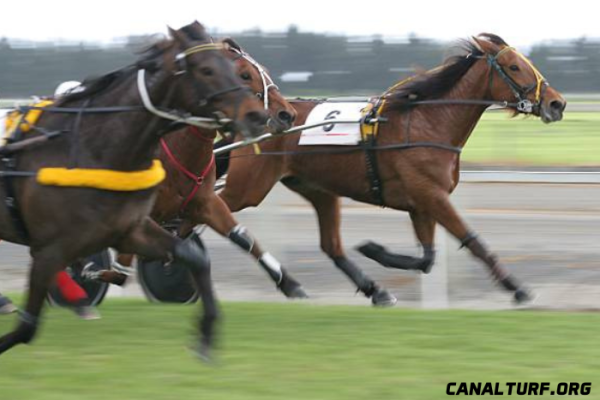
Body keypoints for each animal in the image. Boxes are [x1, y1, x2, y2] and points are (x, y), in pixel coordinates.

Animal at [0, 21, 268, 360]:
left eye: (234, 70)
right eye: (207, 70)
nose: (260, 116)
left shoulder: (132, 228)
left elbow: (193, 255)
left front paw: (206, 332)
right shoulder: (51, 247)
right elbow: (29, 325)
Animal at [93, 37, 310, 298]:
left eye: (265, 70)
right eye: (244, 75)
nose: (287, 114)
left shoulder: (206, 202)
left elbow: (242, 237)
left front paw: (288, 282)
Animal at [217, 33, 568, 304]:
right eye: (514, 66)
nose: (557, 103)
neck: (429, 123)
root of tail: (255, 117)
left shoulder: (421, 202)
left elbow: (427, 258)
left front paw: (374, 250)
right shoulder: (431, 195)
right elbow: (473, 242)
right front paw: (517, 288)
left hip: (318, 190)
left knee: (331, 245)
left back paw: (373, 290)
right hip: (248, 188)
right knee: (216, 212)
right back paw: (286, 282)